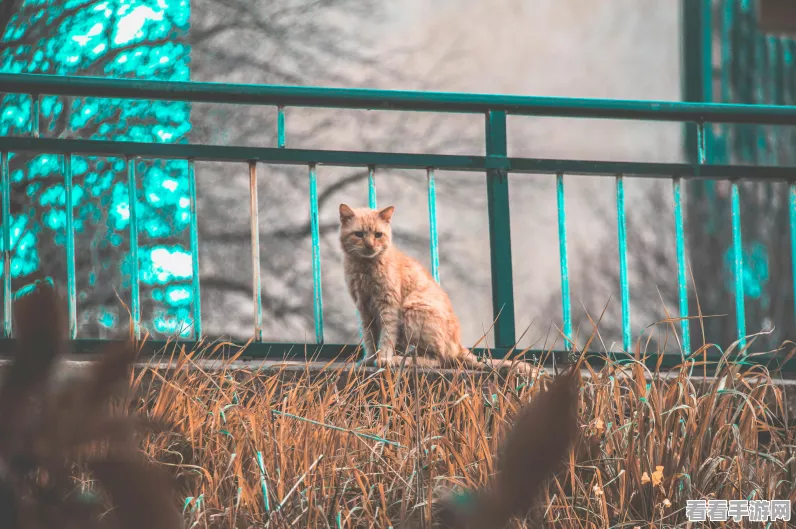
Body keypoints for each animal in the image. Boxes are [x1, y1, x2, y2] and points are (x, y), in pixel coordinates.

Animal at [338, 202, 528, 372]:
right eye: (359, 234)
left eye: (378, 235)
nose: (370, 245)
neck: (365, 267)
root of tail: (459, 346)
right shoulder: (364, 309)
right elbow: (369, 338)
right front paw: (369, 360)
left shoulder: (388, 306)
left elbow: (386, 337)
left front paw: (384, 359)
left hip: (412, 309)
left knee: (439, 360)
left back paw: (401, 360)